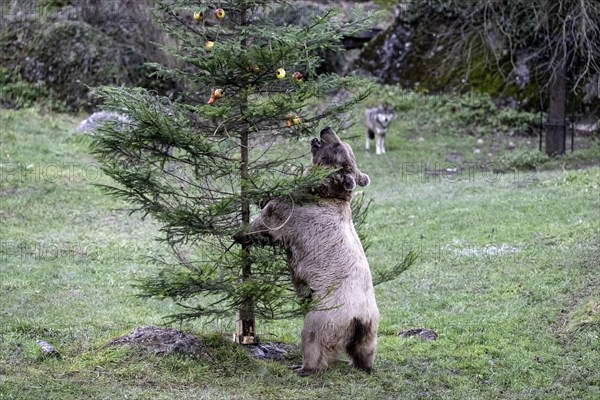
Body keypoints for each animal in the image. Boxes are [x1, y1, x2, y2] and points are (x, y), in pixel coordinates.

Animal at [236, 127, 380, 376]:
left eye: (337, 145)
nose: (326, 129)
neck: (321, 189)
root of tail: (359, 318)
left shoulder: (296, 212)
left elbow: (268, 220)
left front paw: (239, 233)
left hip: (327, 313)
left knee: (313, 338)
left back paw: (304, 367)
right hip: (370, 328)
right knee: (365, 348)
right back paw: (360, 364)